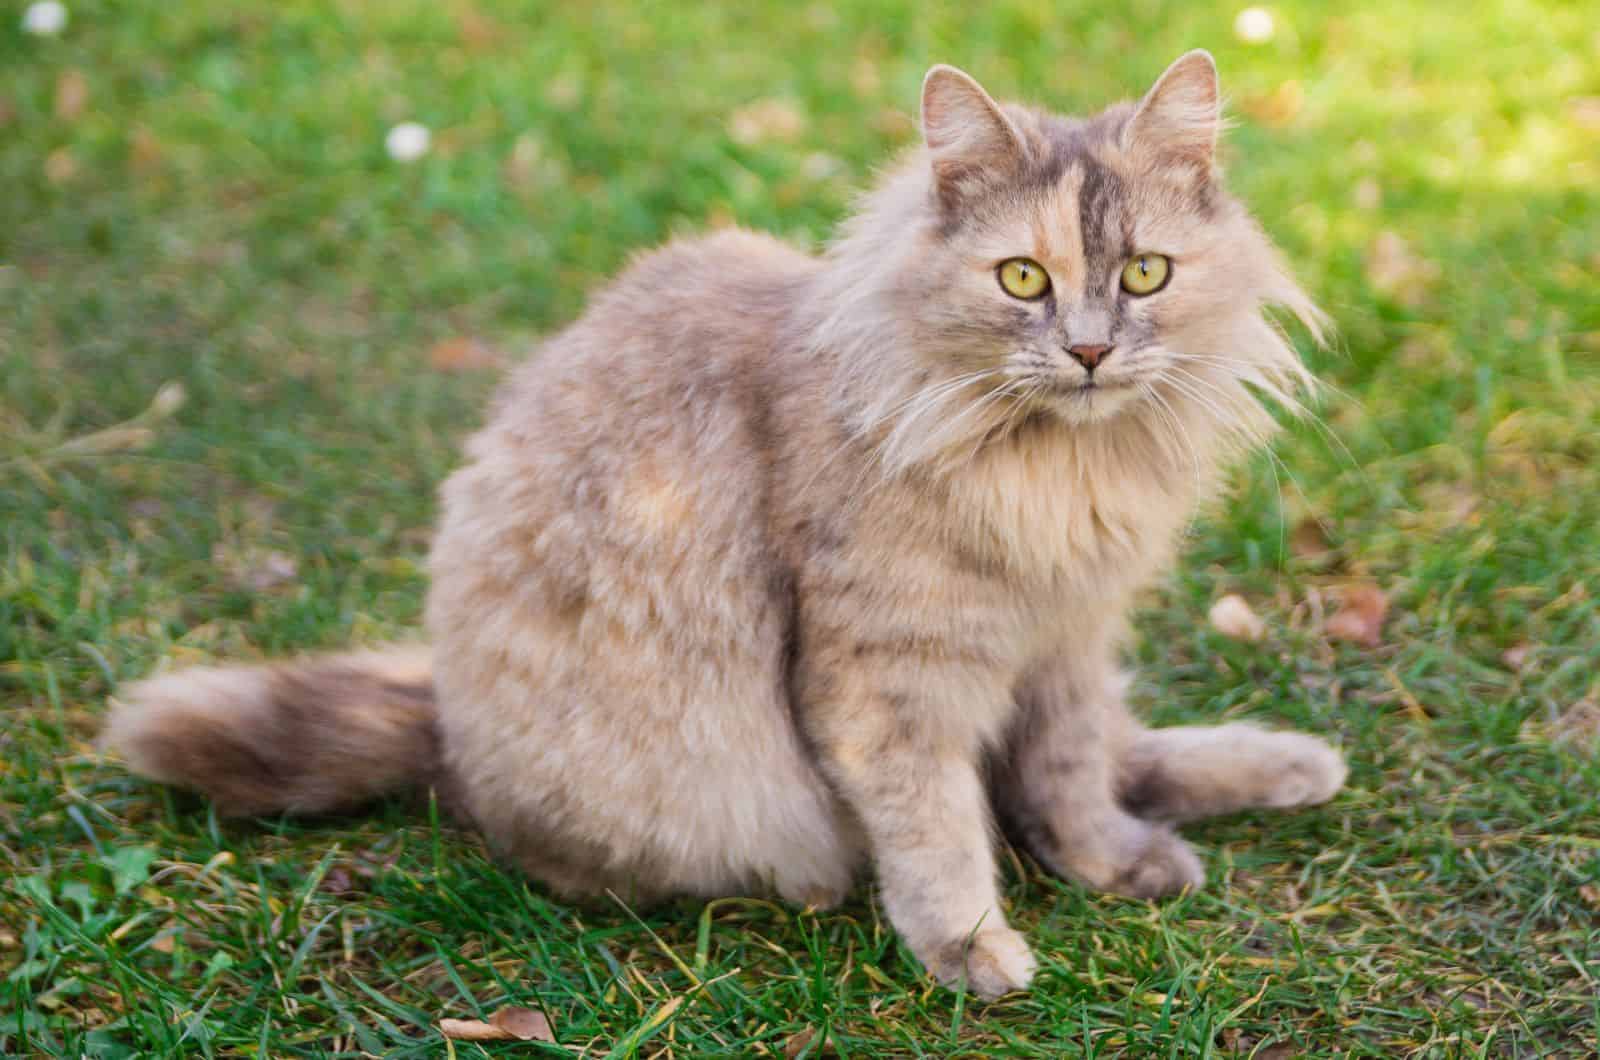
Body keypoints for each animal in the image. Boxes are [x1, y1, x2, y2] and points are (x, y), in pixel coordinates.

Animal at [103, 54, 1350, 999]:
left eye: (1143, 274)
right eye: (1021, 279)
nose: (1089, 350)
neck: (1054, 471)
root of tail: (445, 723)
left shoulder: (1068, 638)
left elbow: (1073, 775)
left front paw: (1105, 865)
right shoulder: (887, 678)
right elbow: (940, 827)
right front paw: (972, 948)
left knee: (1131, 752)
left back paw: (1288, 762)